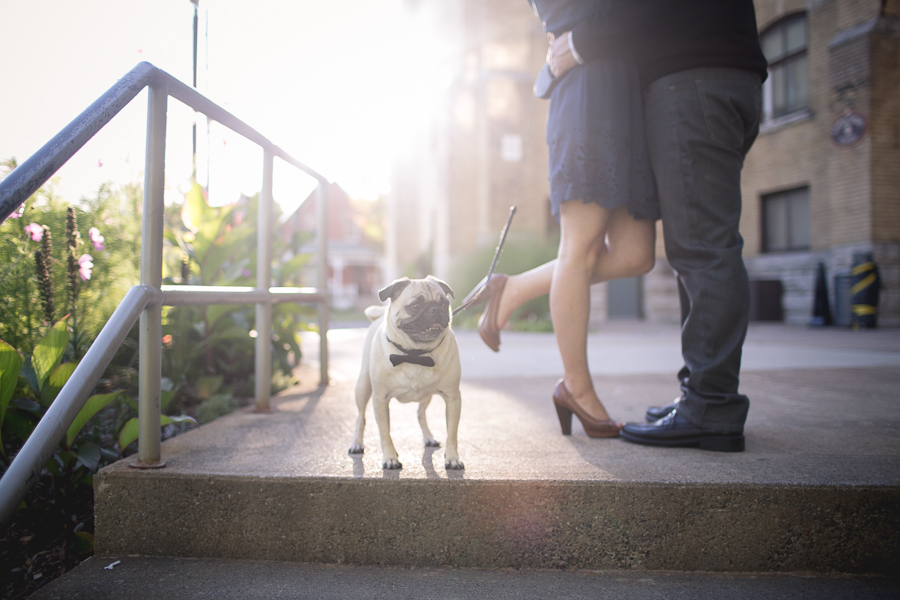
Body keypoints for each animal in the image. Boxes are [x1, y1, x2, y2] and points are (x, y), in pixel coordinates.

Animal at [348, 276, 464, 468]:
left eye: (444, 303)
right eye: (415, 306)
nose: (435, 309)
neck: (415, 354)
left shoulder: (453, 398)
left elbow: (452, 433)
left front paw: (452, 458)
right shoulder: (380, 399)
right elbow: (384, 433)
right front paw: (390, 458)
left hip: (426, 396)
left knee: (420, 414)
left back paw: (429, 438)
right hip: (362, 387)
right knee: (360, 418)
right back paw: (356, 443)